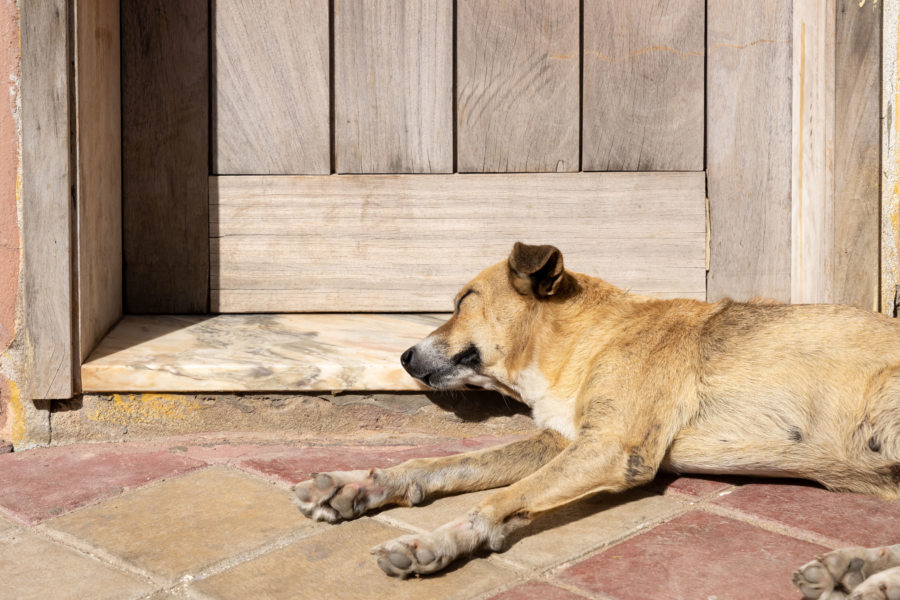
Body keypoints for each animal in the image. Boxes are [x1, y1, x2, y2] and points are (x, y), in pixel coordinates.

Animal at [296, 243, 900, 596]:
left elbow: (495, 500)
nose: (401, 357)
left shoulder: (611, 447)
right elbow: (443, 464)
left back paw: (871, 581)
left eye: (465, 299)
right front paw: (359, 485)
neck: (589, 339)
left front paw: (437, 542)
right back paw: (852, 569)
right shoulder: (561, 439)